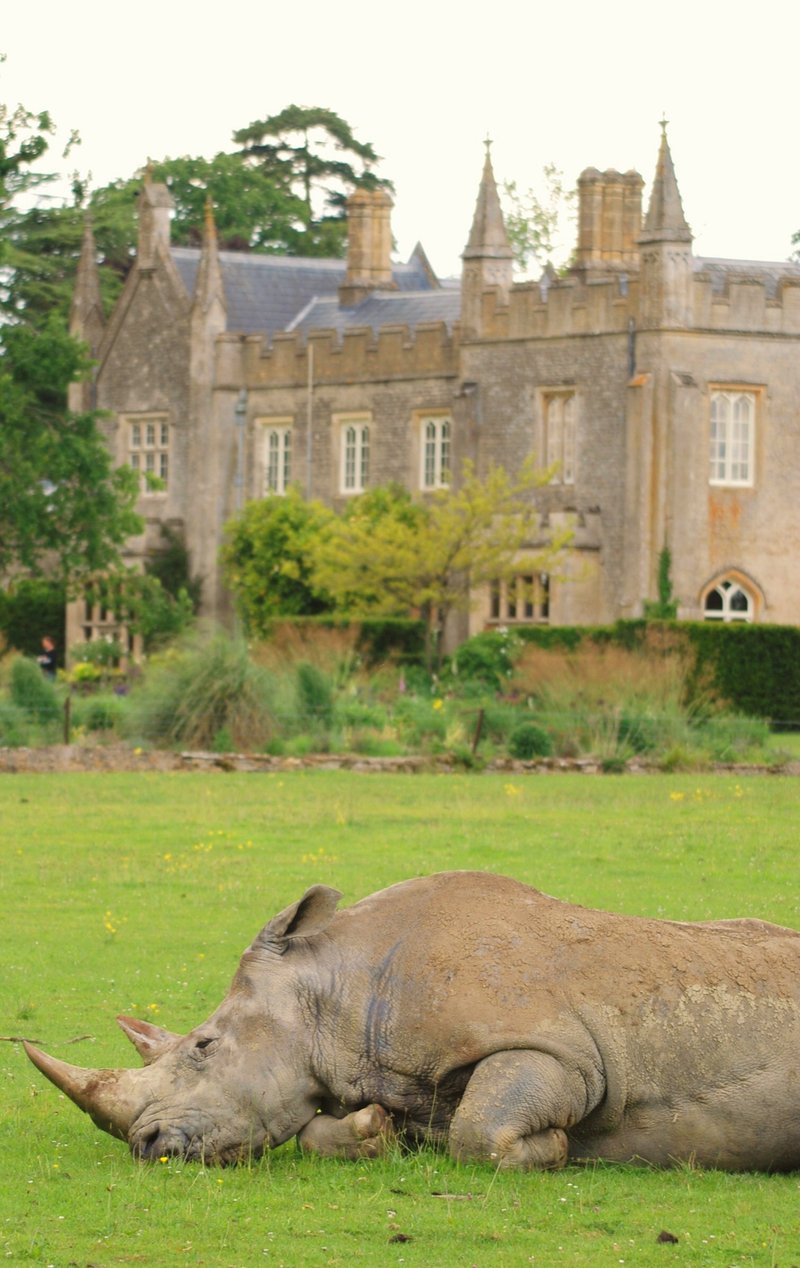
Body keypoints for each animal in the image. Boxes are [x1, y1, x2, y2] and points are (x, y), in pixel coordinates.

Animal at [24, 871, 800, 1171]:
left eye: (204, 1047)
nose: (146, 1145)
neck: (341, 984)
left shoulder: (564, 1051)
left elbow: (478, 1131)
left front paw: (554, 1149)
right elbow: (314, 1130)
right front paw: (381, 1134)